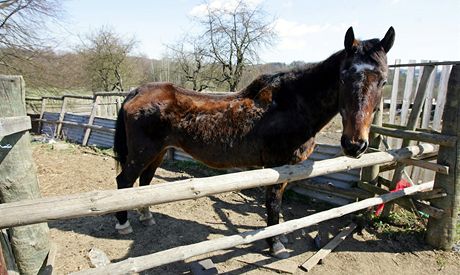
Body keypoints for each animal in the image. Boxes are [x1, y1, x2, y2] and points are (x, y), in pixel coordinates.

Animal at [112, 27, 396, 260]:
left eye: (383, 80)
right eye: (344, 77)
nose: (354, 145)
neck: (292, 105)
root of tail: (137, 91)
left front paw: (280, 236)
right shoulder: (276, 167)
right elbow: (273, 205)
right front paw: (275, 245)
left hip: (157, 152)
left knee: (144, 182)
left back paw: (146, 217)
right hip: (142, 152)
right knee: (124, 182)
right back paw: (123, 225)